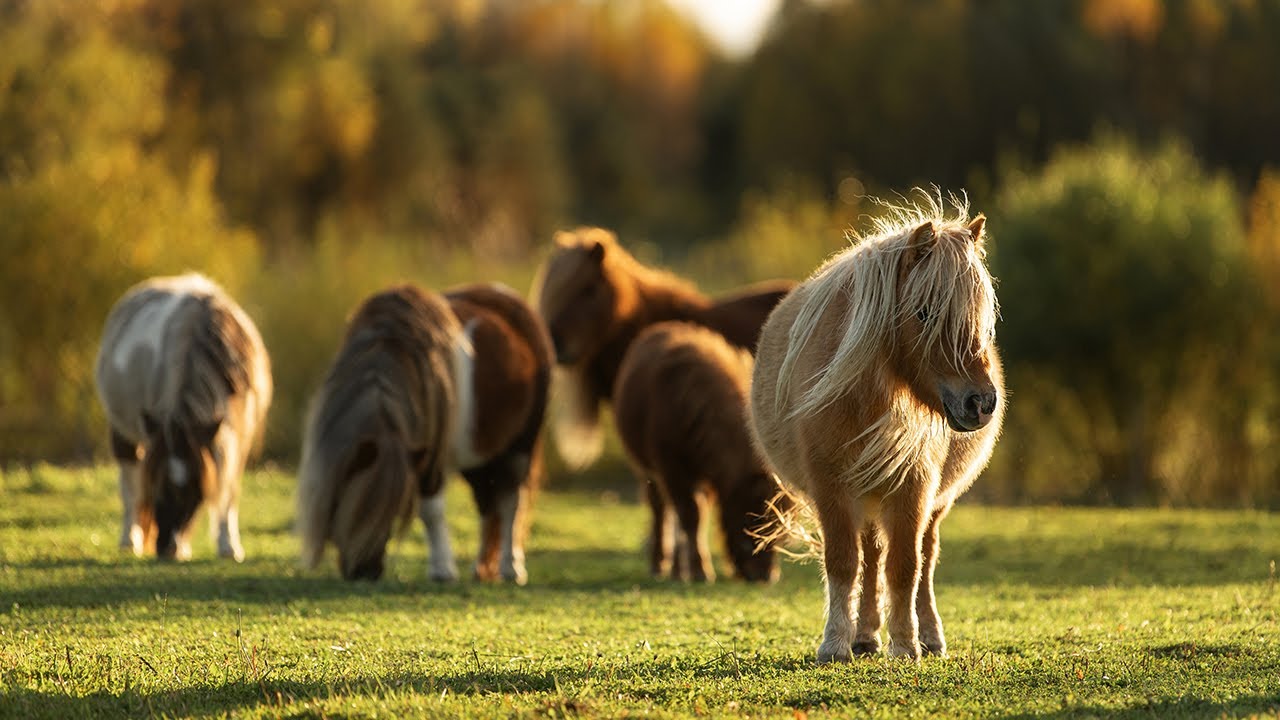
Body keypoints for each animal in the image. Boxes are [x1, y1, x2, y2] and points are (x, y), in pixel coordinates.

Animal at [95, 273, 272, 561]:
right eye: (156, 485)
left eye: (197, 492)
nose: (168, 549)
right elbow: (138, 485)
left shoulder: (237, 437)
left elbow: (228, 488)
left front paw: (228, 545)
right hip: (122, 432)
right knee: (130, 483)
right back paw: (129, 539)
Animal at [297, 283, 552, 583]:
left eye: (394, 510)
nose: (365, 572)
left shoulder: (430, 457)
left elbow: (431, 512)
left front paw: (442, 570)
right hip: (479, 455)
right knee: (488, 505)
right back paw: (481, 568)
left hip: (521, 445)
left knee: (511, 501)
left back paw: (511, 568)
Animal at [614, 322, 787, 583]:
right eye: (754, 520)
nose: (766, 575)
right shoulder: (672, 469)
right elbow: (691, 515)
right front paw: (700, 571)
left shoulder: (709, 478)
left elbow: (698, 517)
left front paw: (693, 567)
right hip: (648, 470)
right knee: (661, 509)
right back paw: (659, 564)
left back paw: (678, 569)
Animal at [749, 193, 1004, 662]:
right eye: (924, 313)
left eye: (981, 319)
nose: (981, 403)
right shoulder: (831, 487)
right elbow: (844, 564)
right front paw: (836, 643)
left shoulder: (913, 490)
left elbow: (905, 567)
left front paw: (905, 645)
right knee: (869, 558)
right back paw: (864, 636)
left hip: (930, 505)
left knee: (924, 560)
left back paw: (928, 637)